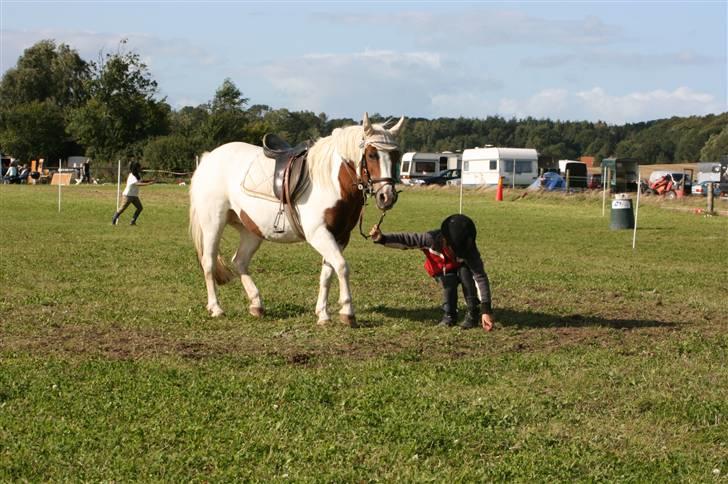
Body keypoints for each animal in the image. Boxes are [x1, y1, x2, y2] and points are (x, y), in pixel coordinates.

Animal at [189, 111, 404, 328]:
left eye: (396, 155)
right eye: (371, 154)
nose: (387, 197)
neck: (331, 183)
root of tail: (209, 158)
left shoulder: (340, 236)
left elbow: (327, 274)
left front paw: (323, 314)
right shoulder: (319, 234)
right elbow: (342, 267)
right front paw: (347, 312)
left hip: (251, 230)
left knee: (239, 261)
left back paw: (256, 304)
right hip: (213, 224)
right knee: (209, 263)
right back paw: (216, 308)